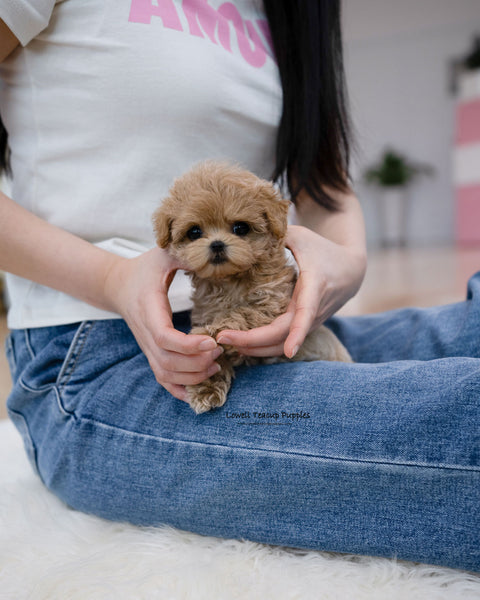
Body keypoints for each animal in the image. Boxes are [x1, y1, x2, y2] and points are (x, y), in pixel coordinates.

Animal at [154, 161, 352, 412]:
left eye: (240, 228)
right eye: (194, 232)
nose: (217, 244)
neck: (231, 279)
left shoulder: (271, 302)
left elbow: (243, 314)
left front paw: (215, 331)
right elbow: (212, 359)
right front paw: (206, 389)